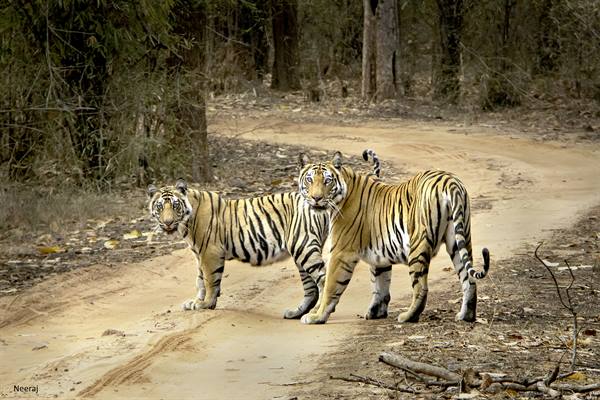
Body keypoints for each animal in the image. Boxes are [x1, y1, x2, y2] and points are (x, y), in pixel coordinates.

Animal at [298, 150, 490, 324]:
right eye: (309, 179)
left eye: (327, 181)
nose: (316, 198)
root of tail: (449, 181)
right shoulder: (379, 256)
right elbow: (380, 284)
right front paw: (376, 312)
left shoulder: (341, 252)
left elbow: (330, 286)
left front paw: (316, 316)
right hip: (458, 240)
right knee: (469, 280)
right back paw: (466, 316)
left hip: (418, 245)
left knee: (421, 287)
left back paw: (408, 316)